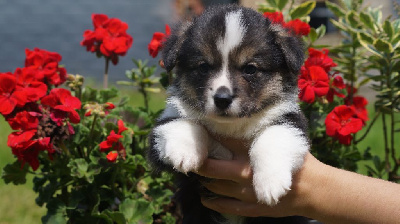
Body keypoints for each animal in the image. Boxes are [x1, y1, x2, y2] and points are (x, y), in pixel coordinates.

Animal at [149, 4, 310, 224]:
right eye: (204, 66)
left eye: (250, 69)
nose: (222, 99)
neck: (231, 127)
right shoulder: (158, 139)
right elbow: (183, 123)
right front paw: (184, 154)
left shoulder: (291, 120)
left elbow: (272, 137)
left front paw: (270, 183)